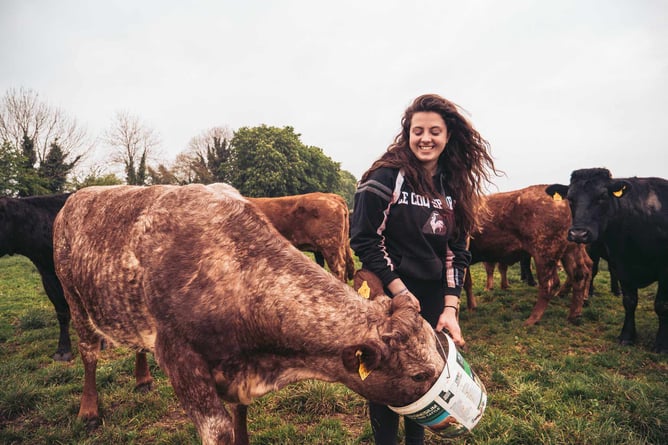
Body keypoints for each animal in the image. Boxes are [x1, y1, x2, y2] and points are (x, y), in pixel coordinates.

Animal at [54, 182, 446, 442]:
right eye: (418, 375)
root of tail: (77, 196)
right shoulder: (181, 361)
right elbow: (221, 430)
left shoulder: (239, 367)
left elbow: (241, 416)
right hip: (74, 297)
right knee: (88, 353)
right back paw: (89, 410)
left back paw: (142, 379)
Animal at [464, 182, 588, 324]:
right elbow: (468, 282)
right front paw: (472, 306)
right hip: (570, 251)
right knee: (579, 275)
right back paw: (574, 315)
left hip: (544, 255)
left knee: (549, 284)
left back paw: (531, 320)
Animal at [544, 168, 668, 352]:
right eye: (570, 198)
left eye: (602, 196)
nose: (578, 233)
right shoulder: (621, 265)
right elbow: (629, 301)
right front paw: (627, 336)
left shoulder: (664, 269)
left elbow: (661, 305)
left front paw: (661, 343)